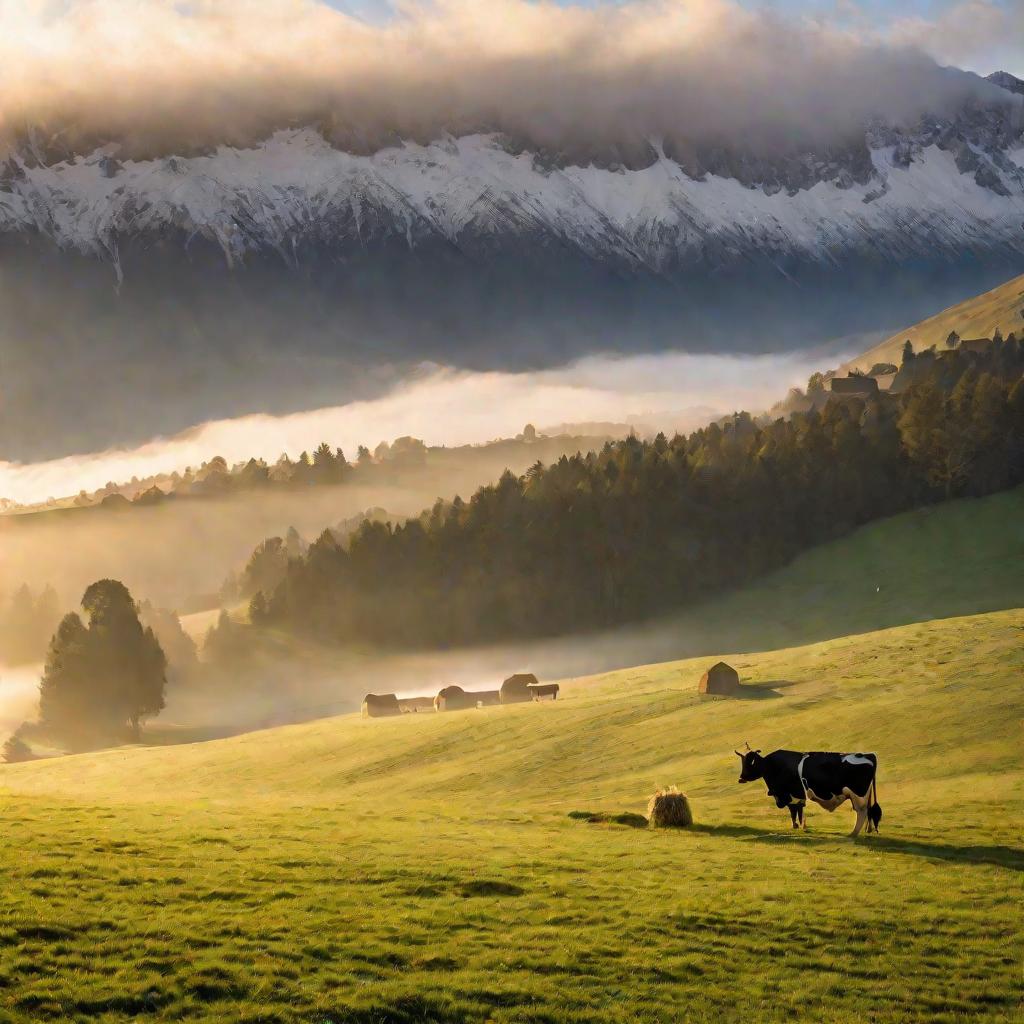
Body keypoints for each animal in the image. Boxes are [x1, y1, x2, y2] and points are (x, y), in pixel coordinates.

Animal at [737, 749, 880, 835]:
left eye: (750, 763)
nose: (741, 778)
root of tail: (867, 754)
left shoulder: (792, 794)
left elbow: (794, 810)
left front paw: (797, 825)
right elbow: (798, 810)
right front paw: (800, 826)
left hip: (859, 796)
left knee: (861, 812)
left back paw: (853, 833)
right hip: (865, 796)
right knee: (868, 812)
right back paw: (867, 830)